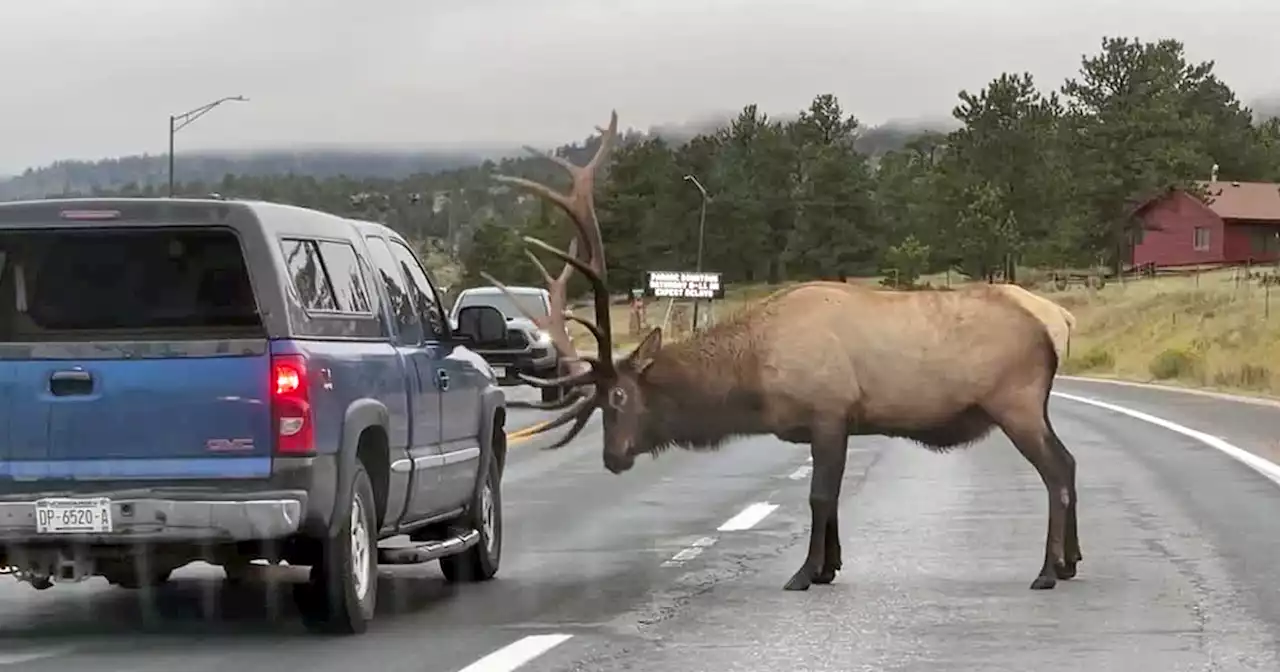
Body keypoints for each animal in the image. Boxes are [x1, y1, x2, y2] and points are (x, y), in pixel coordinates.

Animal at [483, 111, 1085, 591]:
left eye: (620, 398)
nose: (613, 458)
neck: (753, 379)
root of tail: (1059, 320)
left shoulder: (828, 410)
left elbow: (819, 497)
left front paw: (803, 573)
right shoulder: (836, 422)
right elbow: (831, 500)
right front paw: (828, 567)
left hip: (1015, 399)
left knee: (1057, 469)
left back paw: (1048, 570)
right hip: (1030, 403)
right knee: (1070, 463)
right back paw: (1072, 560)